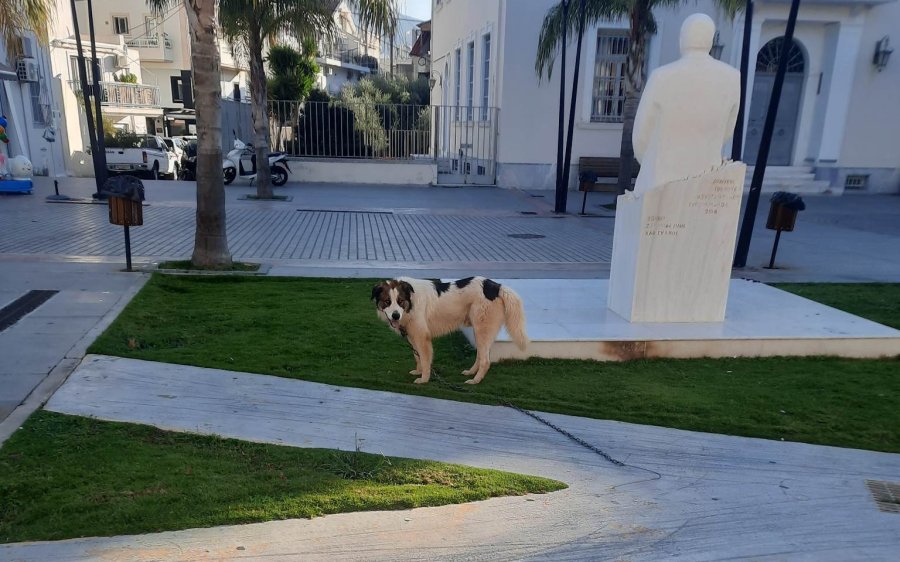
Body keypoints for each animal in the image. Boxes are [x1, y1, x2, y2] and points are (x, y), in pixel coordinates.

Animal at [370, 276, 528, 382]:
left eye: (400, 301)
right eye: (387, 302)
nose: (395, 316)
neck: (411, 302)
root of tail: (496, 286)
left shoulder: (422, 337)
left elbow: (425, 359)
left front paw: (424, 379)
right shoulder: (412, 336)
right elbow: (417, 356)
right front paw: (418, 371)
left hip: (482, 329)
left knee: (486, 361)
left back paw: (475, 381)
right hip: (480, 331)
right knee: (481, 355)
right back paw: (471, 372)